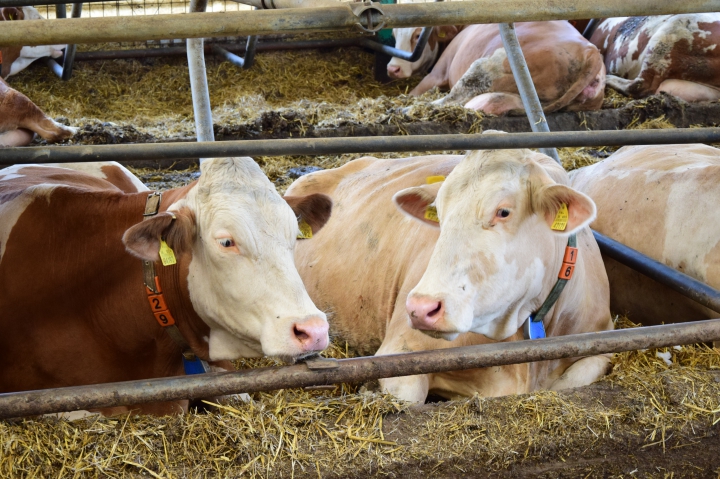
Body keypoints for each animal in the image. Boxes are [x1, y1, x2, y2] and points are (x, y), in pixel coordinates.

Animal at [286, 136, 612, 404]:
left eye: (503, 211)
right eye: (439, 214)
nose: (421, 308)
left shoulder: (600, 340)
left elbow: (576, 377)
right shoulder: (400, 350)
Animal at [386, 20, 604, 115]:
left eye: (417, 35)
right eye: (394, 34)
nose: (392, 68)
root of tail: (590, 52)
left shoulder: (439, 71)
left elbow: (417, 91)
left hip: (485, 67)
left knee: (453, 98)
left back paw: (404, 110)